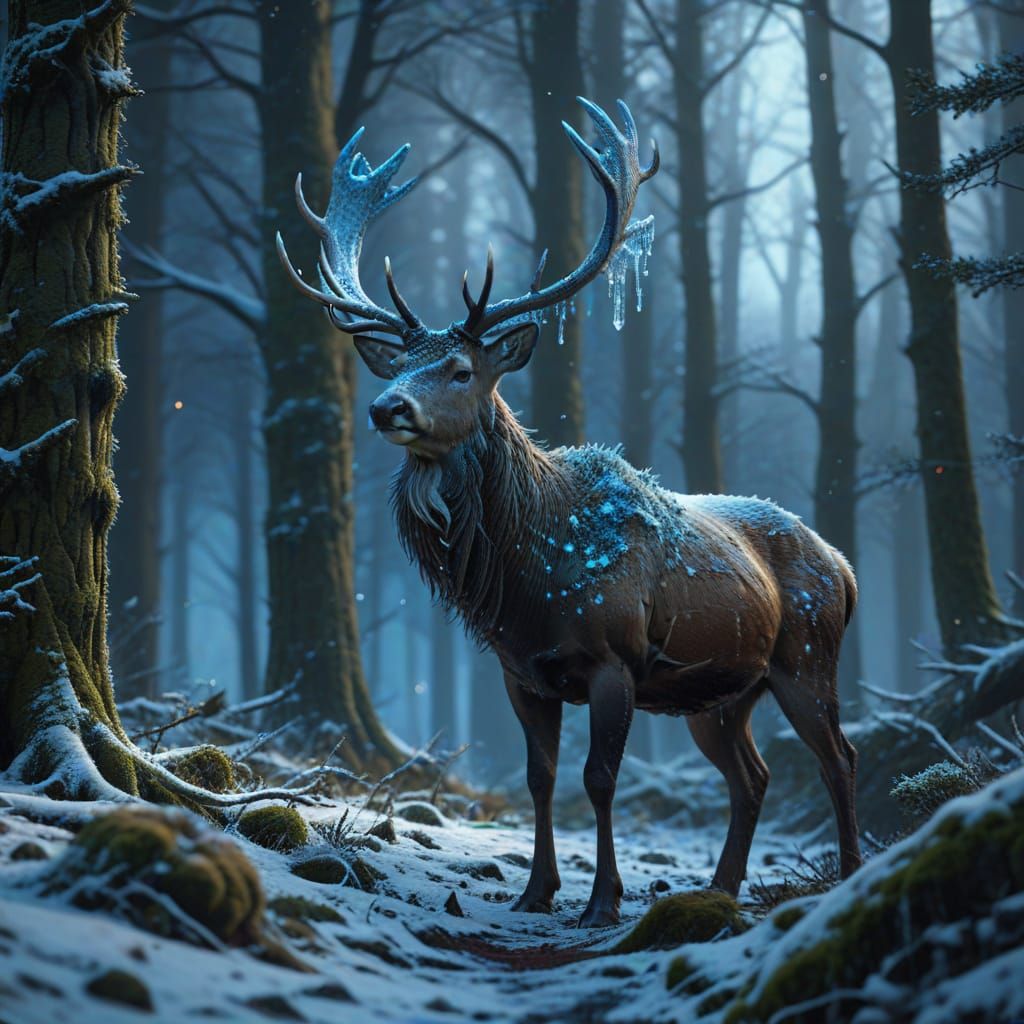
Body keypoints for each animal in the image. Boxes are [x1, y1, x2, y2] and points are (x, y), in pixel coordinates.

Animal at [276, 98, 861, 928]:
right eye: (400, 365)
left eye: (459, 369)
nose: (388, 408)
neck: (524, 579)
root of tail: (843, 566)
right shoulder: (520, 672)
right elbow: (540, 778)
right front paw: (536, 890)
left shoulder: (615, 659)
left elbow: (598, 779)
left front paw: (601, 901)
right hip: (720, 695)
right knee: (752, 776)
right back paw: (720, 888)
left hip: (807, 657)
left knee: (839, 755)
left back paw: (849, 872)